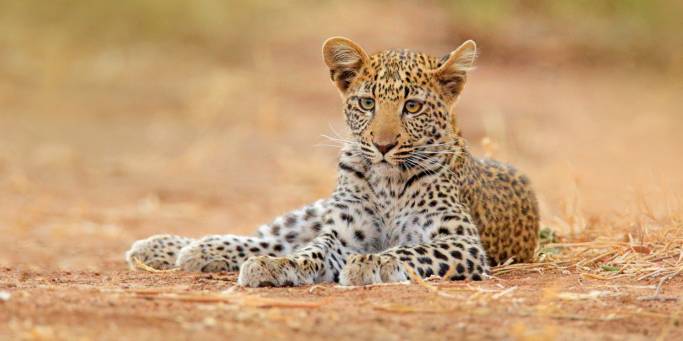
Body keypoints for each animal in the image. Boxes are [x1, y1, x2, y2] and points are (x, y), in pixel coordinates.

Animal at [123, 37, 540, 286]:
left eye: (412, 107)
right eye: (367, 103)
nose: (383, 145)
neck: (388, 183)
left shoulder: (462, 242)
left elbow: (412, 249)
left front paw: (373, 264)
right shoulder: (341, 233)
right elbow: (311, 251)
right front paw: (278, 267)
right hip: (312, 212)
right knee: (270, 237)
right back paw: (174, 247)